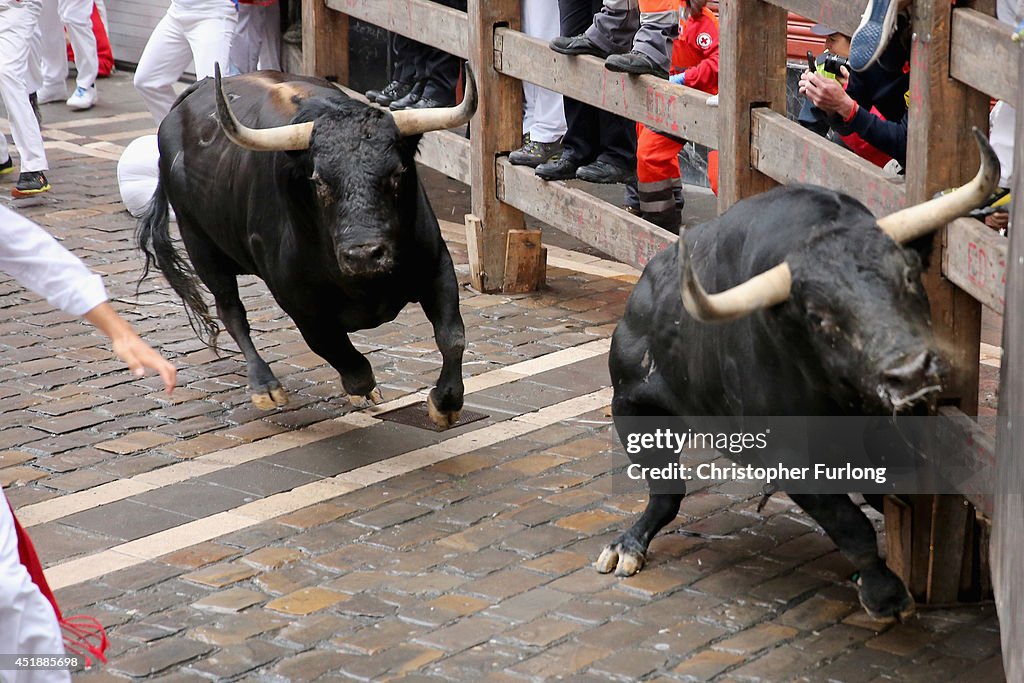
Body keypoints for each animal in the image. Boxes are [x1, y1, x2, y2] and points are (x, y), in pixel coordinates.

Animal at [134, 65, 477, 428]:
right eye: (320, 181)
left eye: (397, 174)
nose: (364, 255)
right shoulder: (299, 303)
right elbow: (340, 354)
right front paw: (362, 387)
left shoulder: (437, 267)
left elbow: (452, 336)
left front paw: (445, 403)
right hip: (200, 244)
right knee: (231, 311)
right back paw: (265, 386)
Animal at [598, 131, 999, 622]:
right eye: (819, 316)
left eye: (908, 277)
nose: (910, 373)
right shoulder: (789, 457)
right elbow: (851, 524)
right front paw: (885, 594)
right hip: (633, 409)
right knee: (665, 494)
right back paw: (627, 546)